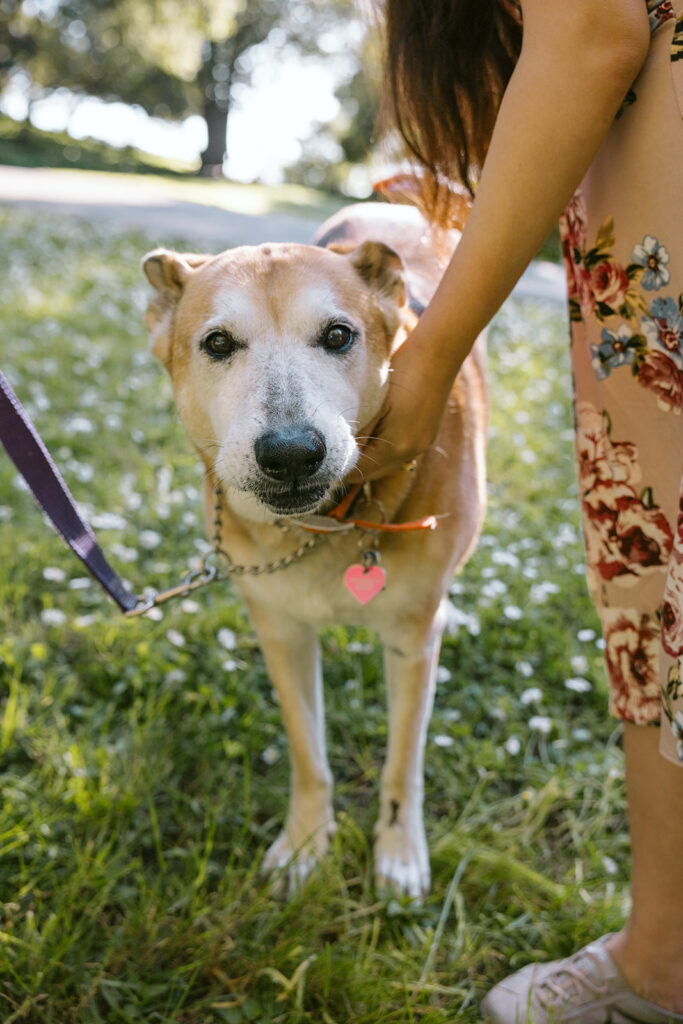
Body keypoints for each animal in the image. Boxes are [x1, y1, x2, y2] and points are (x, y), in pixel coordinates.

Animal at [143, 201, 485, 897]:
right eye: (218, 344)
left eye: (337, 336)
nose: (292, 453)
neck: (318, 530)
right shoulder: (280, 630)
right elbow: (308, 754)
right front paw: (305, 845)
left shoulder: (412, 640)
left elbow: (403, 761)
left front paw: (398, 852)